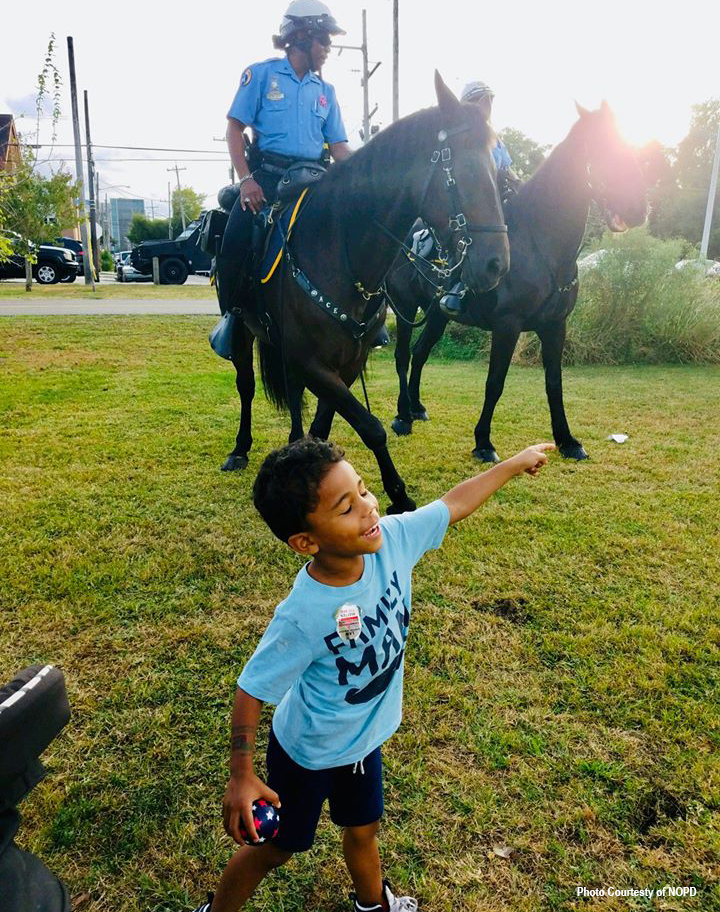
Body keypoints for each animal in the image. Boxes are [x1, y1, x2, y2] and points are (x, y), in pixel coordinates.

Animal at [222, 71, 510, 512]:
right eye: (461, 172)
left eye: (498, 172)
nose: (497, 264)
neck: (340, 253)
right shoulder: (313, 362)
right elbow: (371, 426)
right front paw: (398, 494)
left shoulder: (344, 363)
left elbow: (324, 426)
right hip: (240, 330)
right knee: (246, 386)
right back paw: (239, 449)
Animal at [388, 102, 648, 460]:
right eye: (601, 149)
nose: (637, 209)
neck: (541, 244)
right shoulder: (507, 326)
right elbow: (494, 383)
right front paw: (483, 443)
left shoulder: (555, 326)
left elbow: (554, 383)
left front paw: (567, 440)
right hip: (405, 306)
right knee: (402, 355)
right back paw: (402, 417)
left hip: (437, 314)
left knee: (420, 352)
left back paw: (416, 408)